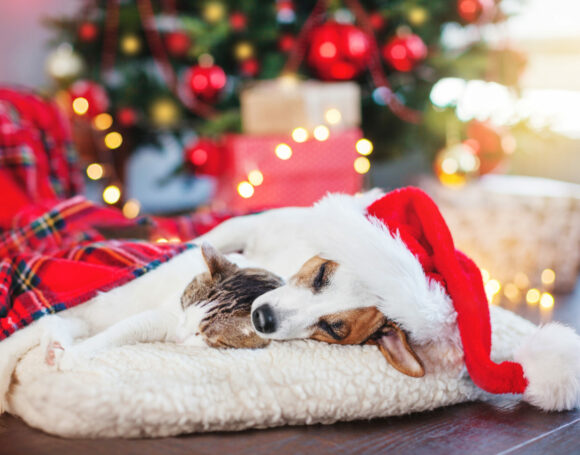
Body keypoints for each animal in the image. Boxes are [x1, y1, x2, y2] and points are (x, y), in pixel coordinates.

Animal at [0, 244, 280, 416]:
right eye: (184, 307)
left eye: (201, 334)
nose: (178, 336)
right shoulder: (162, 315)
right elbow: (119, 331)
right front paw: (75, 356)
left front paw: (70, 354)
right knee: (44, 320)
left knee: (55, 322)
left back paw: (54, 347)